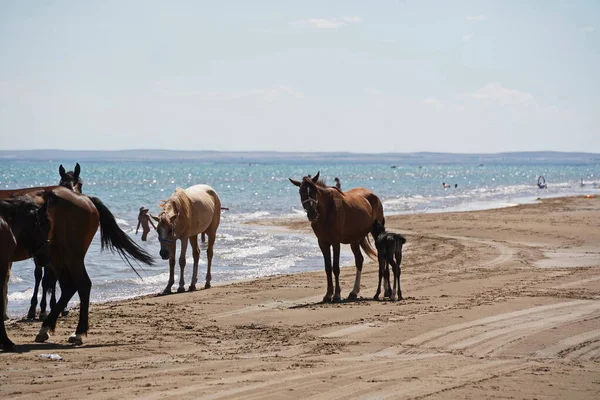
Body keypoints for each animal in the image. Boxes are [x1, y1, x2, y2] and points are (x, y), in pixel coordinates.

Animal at [290, 170, 384, 302]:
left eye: (314, 190)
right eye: (301, 192)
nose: (312, 213)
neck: (326, 212)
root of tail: (374, 196)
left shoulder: (335, 242)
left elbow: (335, 267)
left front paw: (337, 295)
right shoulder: (323, 243)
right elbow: (328, 268)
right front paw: (328, 294)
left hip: (376, 233)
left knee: (382, 259)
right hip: (355, 239)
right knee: (359, 260)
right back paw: (354, 292)